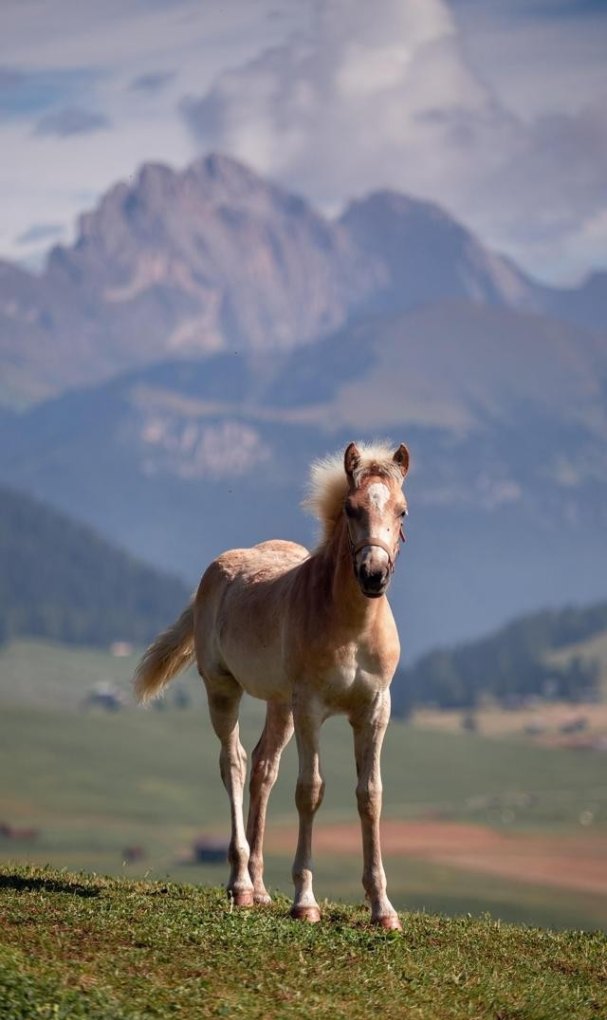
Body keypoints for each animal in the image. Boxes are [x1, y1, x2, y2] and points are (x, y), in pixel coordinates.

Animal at [135, 438, 410, 926]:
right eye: (351, 507)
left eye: (402, 511)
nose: (373, 575)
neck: (351, 626)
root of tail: (216, 571)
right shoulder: (311, 708)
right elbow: (310, 791)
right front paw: (305, 901)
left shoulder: (376, 709)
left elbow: (370, 795)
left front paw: (383, 909)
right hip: (224, 690)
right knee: (235, 764)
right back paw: (241, 885)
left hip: (280, 705)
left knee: (264, 769)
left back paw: (261, 888)